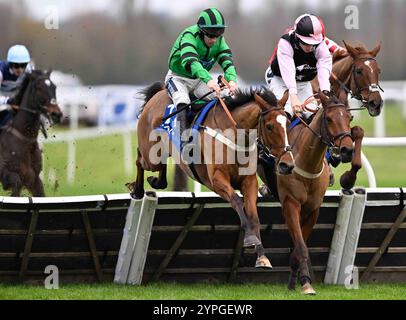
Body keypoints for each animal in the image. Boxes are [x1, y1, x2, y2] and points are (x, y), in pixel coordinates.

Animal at [128, 84, 294, 268]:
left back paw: (156, 181)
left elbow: (253, 216)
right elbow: (236, 201)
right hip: (151, 156)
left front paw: (262, 257)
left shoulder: (249, 181)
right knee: (139, 159)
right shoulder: (216, 180)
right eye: (270, 126)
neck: (234, 137)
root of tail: (159, 93)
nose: (287, 165)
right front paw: (250, 238)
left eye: (288, 122)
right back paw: (137, 190)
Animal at [264, 90, 356, 296]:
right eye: (329, 119)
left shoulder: (313, 209)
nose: (347, 150)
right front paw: (306, 284)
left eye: (349, 117)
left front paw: (295, 282)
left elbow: (300, 245)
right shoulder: (291, 204)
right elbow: (301, 246)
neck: (307, 163)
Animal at [312, 40, 382, 190]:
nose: (376, 103)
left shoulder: (343, 125)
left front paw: (348, 178)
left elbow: (358, 131)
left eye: (378, 70)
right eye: (359, 71)